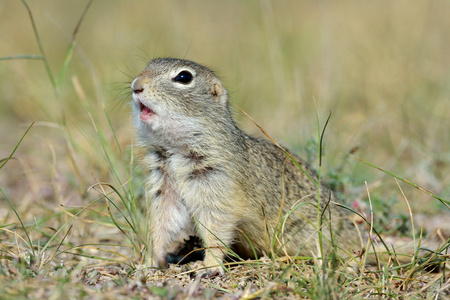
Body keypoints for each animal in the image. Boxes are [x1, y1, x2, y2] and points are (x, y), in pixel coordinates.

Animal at [130, 58, 358, 276]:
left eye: (184, 77)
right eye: (147, 65)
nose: (136, 85)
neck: (175, 150)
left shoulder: (218, 185)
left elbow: (215, 228)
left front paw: (208, 267)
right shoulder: (164, 187)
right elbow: (162, 224)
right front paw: (149, 263)